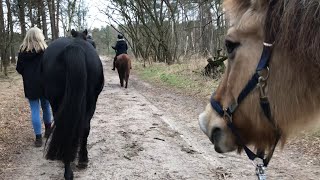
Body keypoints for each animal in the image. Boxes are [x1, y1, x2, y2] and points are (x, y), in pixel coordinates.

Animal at [42, 28, 104, 179]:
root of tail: (74, 47)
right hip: (90, 101)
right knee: (84, 127)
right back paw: (80, 160)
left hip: (56, 100)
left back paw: (68, 167)